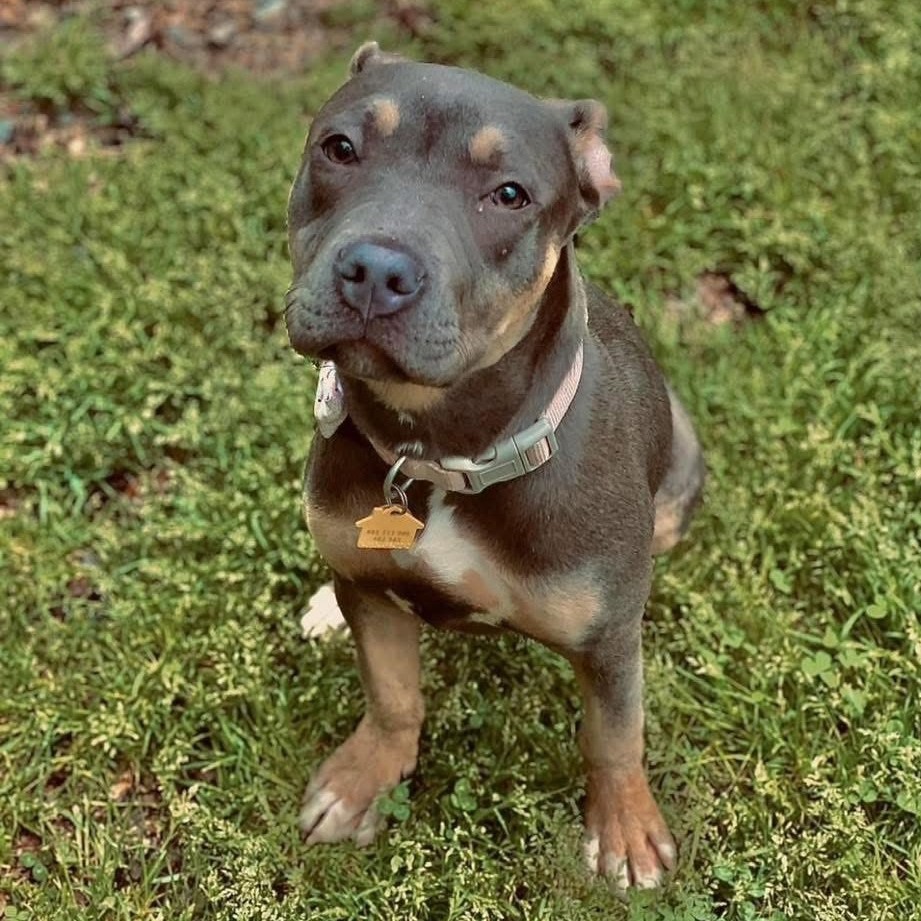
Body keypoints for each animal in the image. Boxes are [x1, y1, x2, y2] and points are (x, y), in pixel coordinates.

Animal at [284, 42, 705, 890]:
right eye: (338, 148)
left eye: (508, 194)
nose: (374, 269)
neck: (436, 452)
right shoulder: (373, 597)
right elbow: (392, 694)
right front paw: (362, 780)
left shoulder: (608, 642)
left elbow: (614, 734)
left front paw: (625, 830)